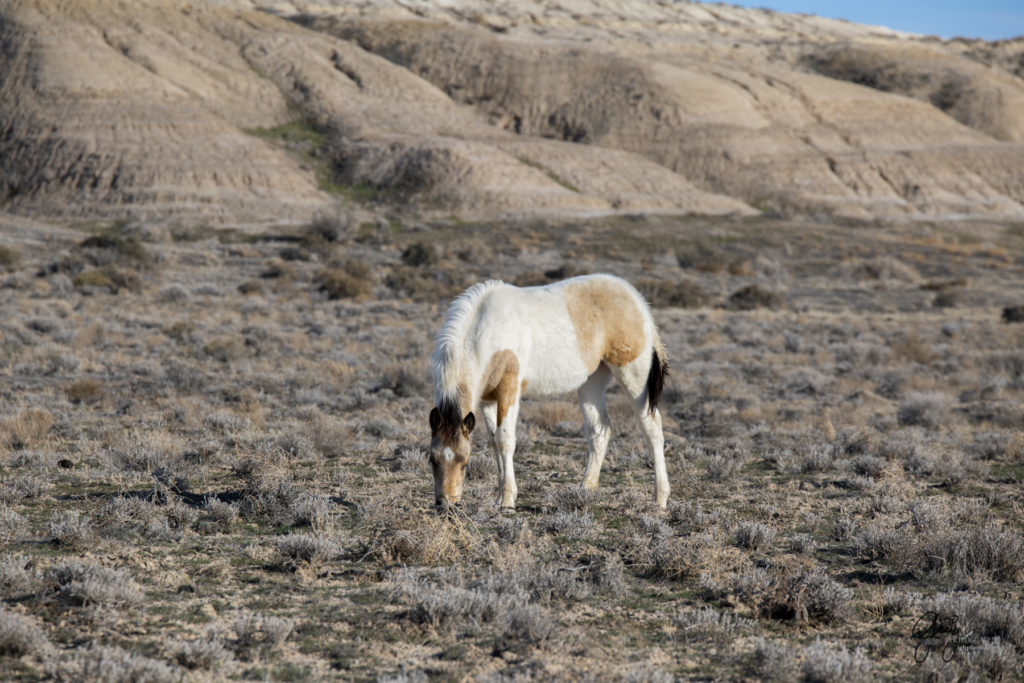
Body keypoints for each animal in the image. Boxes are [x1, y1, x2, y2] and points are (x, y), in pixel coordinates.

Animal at [425, 274, 671, 509]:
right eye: (432, 460)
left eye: (464, 462)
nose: (446, 503)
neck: (487, 330)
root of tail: (637, 300)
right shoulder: (487, 399)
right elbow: (494, 442)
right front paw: (498, 497)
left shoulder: (509, 390)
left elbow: (505, 439)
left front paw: (507, 500)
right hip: (592, 381)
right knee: (599, 431)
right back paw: (585, 490)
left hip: (634, 376)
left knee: (652, 428)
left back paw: (660, 498)